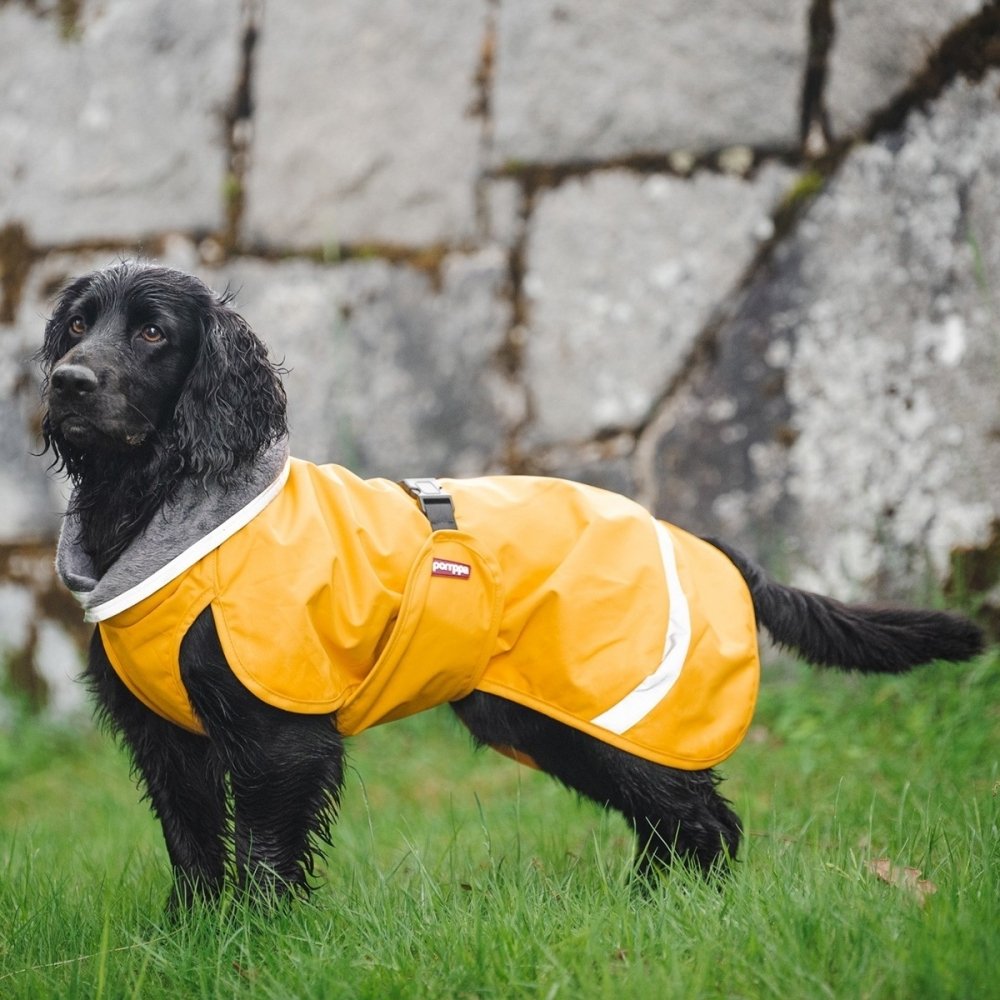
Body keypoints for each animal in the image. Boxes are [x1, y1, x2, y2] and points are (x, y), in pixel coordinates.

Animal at [41, 264, 984, 908]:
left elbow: (266, 852)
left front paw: (258, 939)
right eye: (78, 324)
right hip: (547, 719)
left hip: (608, 716)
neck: (162, 502)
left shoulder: (282, 731)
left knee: (701, 817)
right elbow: (194, 847)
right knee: (671, 821)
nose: (67, 382)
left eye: (154, 334)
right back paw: (649, 909)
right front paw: (194, 935)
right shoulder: (165, 736)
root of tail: (703, 539)